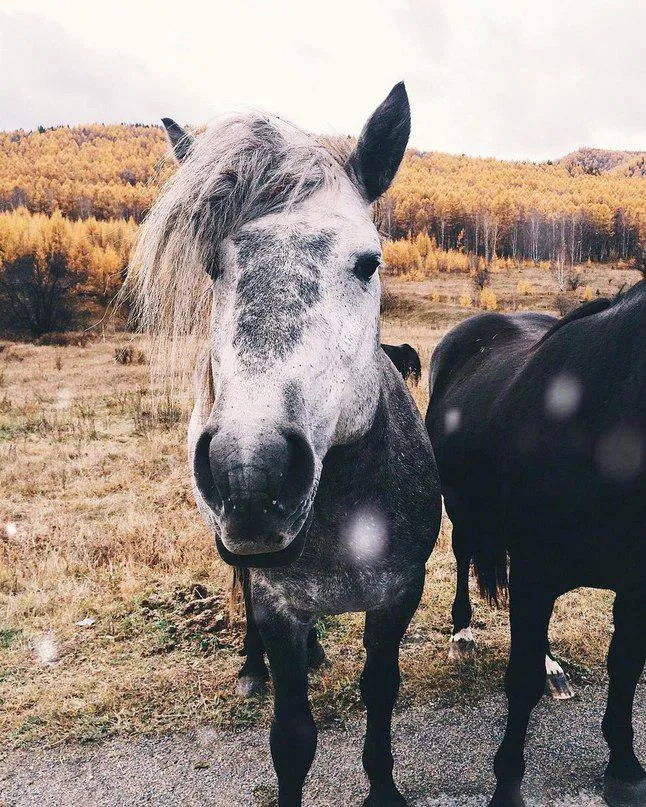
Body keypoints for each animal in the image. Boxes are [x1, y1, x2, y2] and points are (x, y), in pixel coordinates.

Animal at [132, 85, 446, 804]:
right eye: (212, 264)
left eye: (368, 263)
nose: (251, 472)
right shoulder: (279, 605)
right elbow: (293, 736)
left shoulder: (400, 595)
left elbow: (380, 691)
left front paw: (383, 787)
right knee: (243, 586)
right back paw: (254, 666)